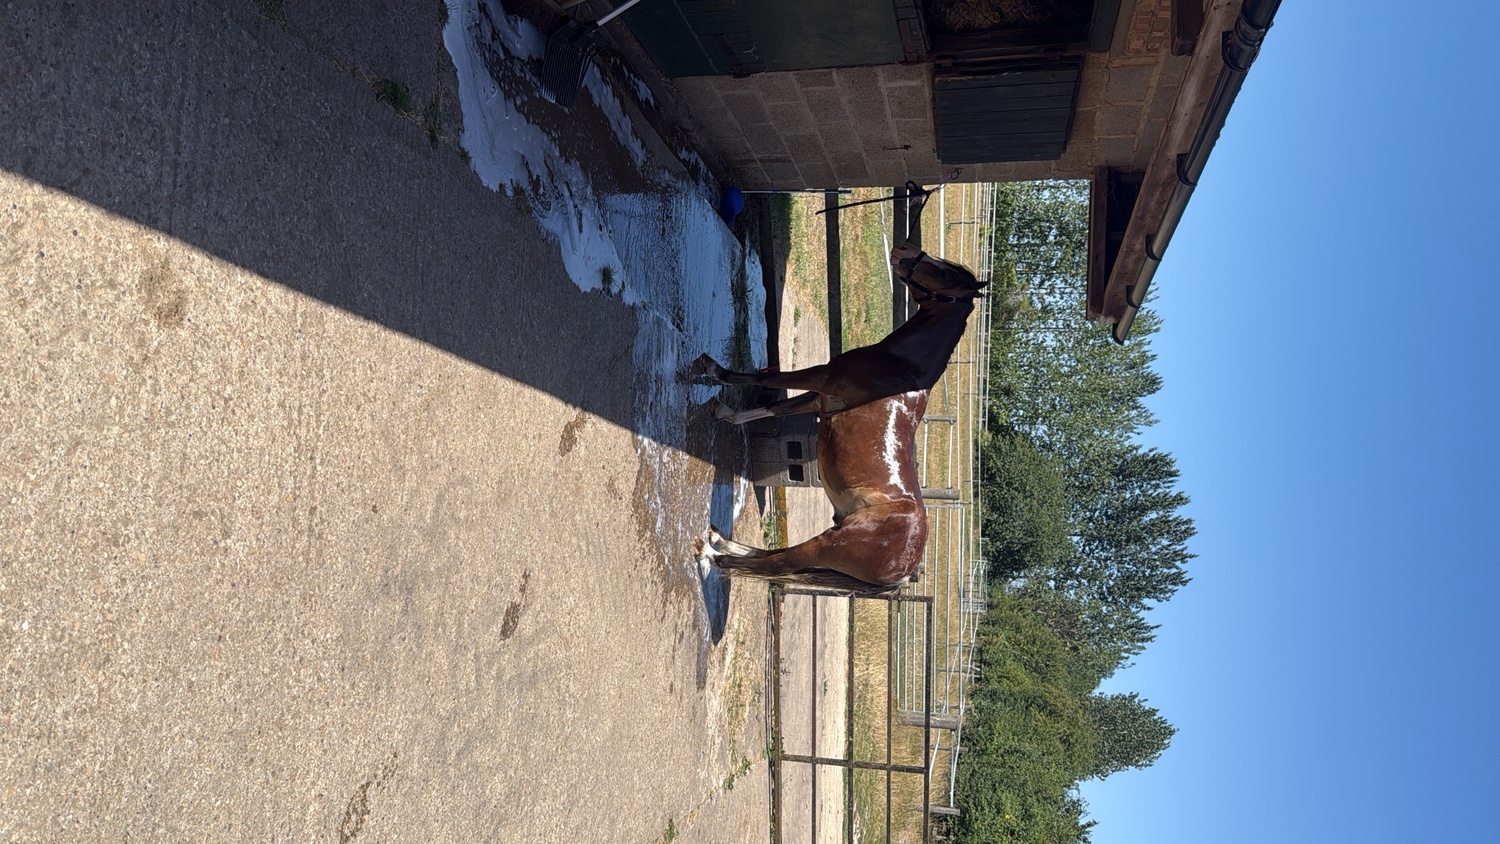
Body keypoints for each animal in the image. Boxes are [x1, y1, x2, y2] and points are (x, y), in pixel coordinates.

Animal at [688, 243, 985, 425]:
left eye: (946, 275)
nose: (904, 248)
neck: (896, 366)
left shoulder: (823, 377)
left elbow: (769, 380)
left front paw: (715, 370)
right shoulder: (821, 396)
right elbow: (777, 408)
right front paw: (728, 414)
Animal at [696, 390, 929, 594]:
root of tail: (906, 573)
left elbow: (778, 407)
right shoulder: (820, 396)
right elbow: (776, 407)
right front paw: (726, 413)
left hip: (829, 544)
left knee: (779, 563)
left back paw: (710, 554)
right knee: (775, 553)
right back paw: (719, 541)